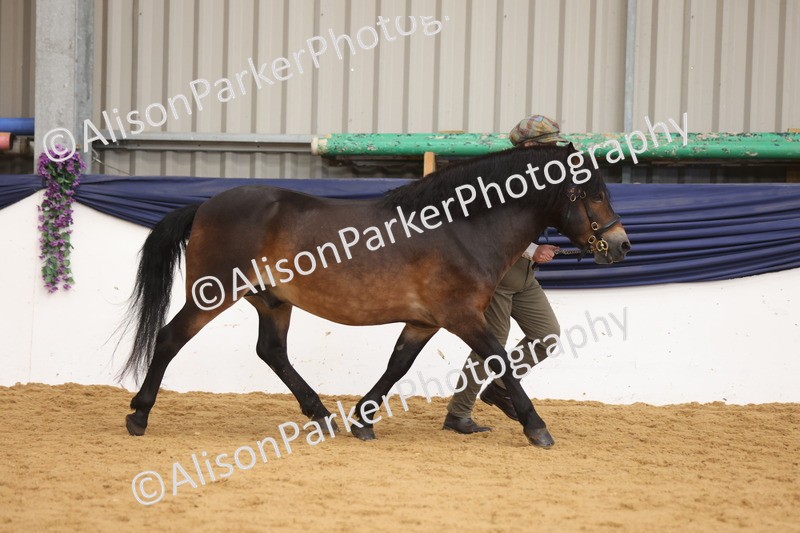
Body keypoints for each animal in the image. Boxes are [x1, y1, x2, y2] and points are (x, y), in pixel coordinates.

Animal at [119, 143, 630, 447]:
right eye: (592, 193)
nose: (621, 244)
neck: (461, 226)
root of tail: (204, 206)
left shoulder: (424, 320)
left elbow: (397, 366)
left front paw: (362, 421)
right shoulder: (463, 317)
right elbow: (500, 359)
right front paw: (536, 427)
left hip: (273, 301)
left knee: (272, 352)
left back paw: (322, 416)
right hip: (214, 293)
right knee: (169, 338)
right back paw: (139, 416)